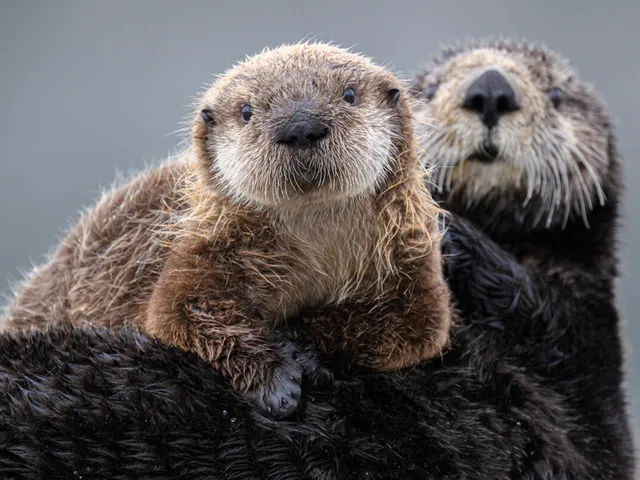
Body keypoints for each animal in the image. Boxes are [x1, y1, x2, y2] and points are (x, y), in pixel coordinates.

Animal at [1, 43, 452, 418]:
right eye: (247, 110)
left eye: (349, 95)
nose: (300, 126)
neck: (314, 247)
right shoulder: (205, 247)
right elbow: (183, 309)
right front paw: (276, 384)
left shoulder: (408, 257)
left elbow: (414, 325)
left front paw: (302, 345)